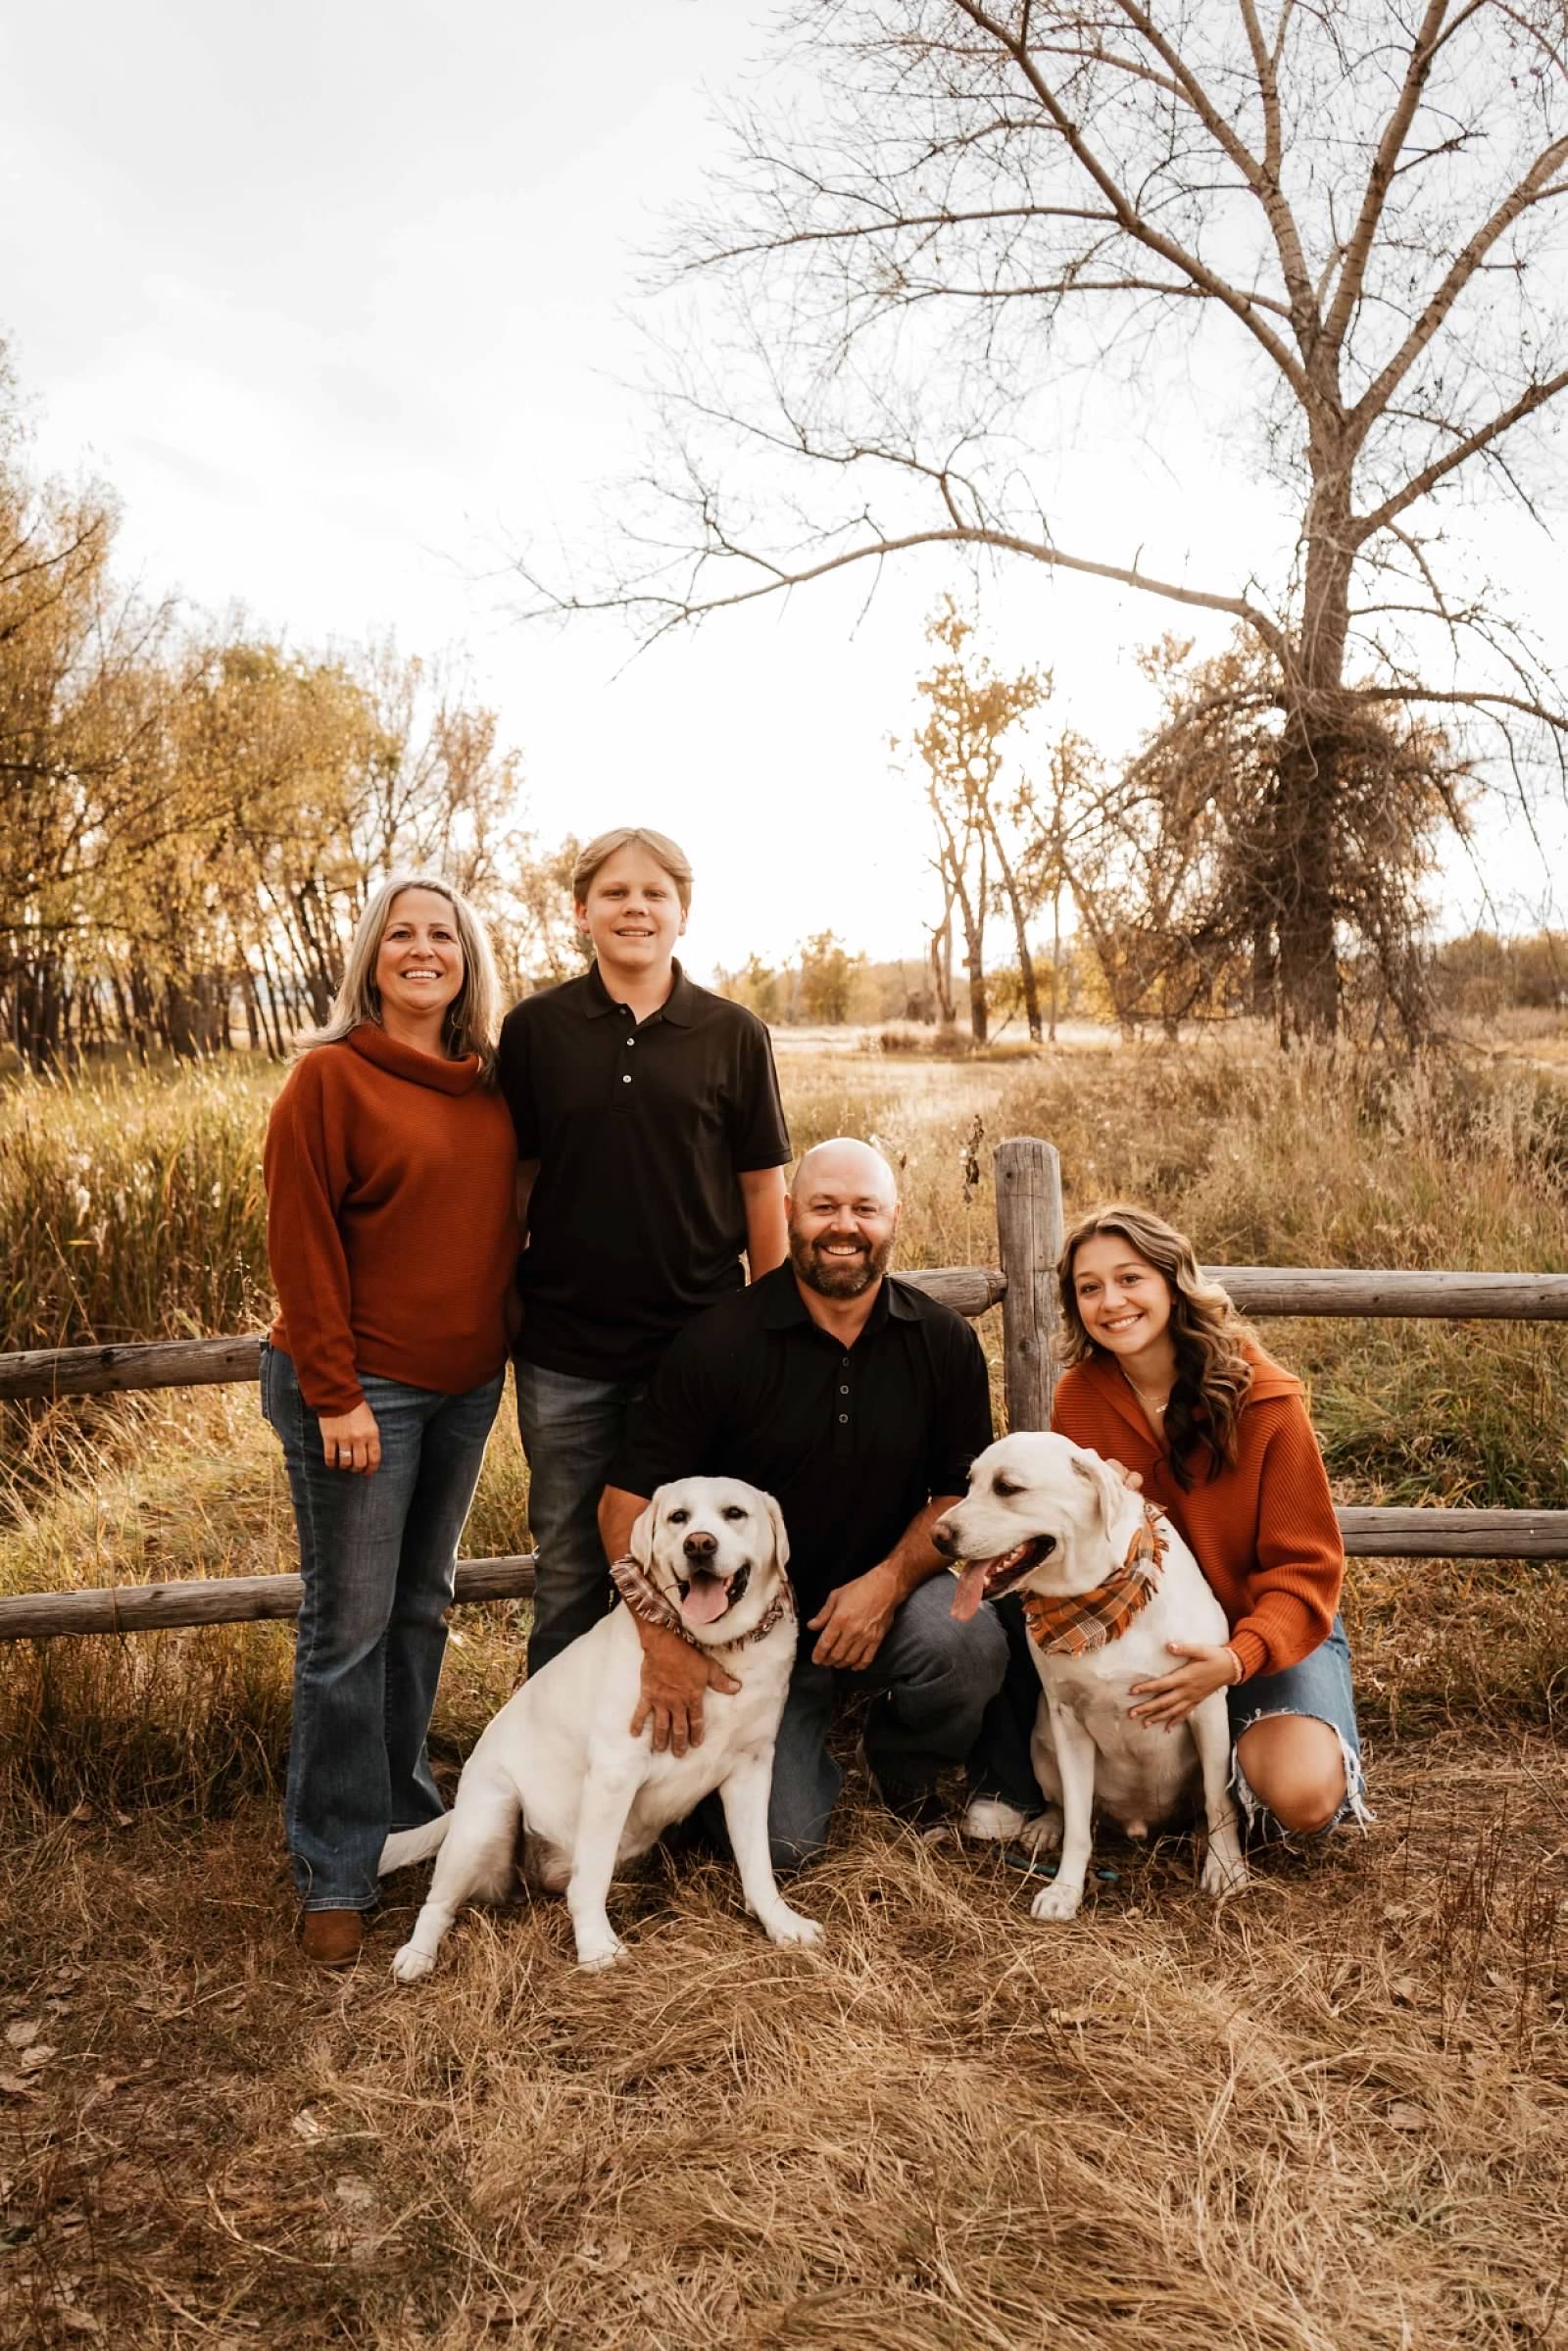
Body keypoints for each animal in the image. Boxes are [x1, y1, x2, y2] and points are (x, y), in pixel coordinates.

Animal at [380, 1476, 827, 1975]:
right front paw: (596, 1948)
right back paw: (416, 1956)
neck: (713, 1650)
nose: (698, 1545)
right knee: (437, 1903)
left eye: (735, 1513)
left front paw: (781, 1923)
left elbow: (758, 1865)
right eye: (679, 1517)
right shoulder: (614, 1773)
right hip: (489, 1819)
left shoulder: (751, 1769)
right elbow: (591, 1876)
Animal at [930, 1439, 1250, 1918]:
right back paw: (1045, 1827)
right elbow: (1079, 1821)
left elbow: (1218, 1799)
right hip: (1041, 1742)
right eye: (970, 1483)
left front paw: (1226, 1866)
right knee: (1061, 1803)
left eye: (1007, 1487)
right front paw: (1064, 1889)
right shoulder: (1067, 1720)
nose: (937, 1535)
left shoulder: (1206, 1706)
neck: (1095, 1601)